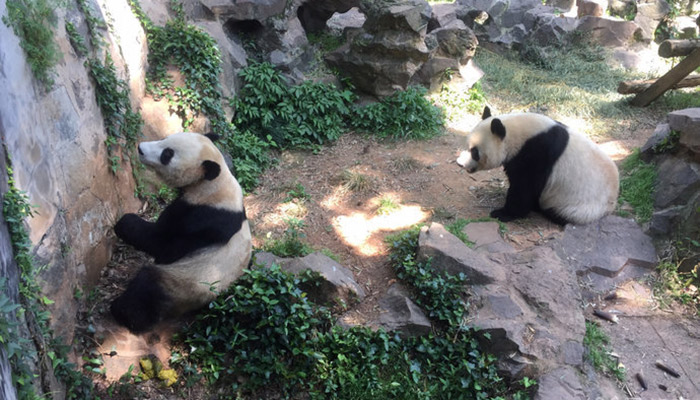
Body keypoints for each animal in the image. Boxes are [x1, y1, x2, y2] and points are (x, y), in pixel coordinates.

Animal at [109, 132, 252, 334]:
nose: (140, 148)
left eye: (167, 154)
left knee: (148, 287)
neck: (213, 184)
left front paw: (124, 222)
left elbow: (162, 243)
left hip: (187, 283)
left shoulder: (201, 216)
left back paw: (123, 313)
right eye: (165, 138)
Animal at [460, 106, 616, 225]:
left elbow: (525, 186)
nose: (460, 163)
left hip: (582, 205)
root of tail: (611, 206)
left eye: (475, 152)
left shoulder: (538, 153)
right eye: (467, 145)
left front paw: (503, 213)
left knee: (562, 213)